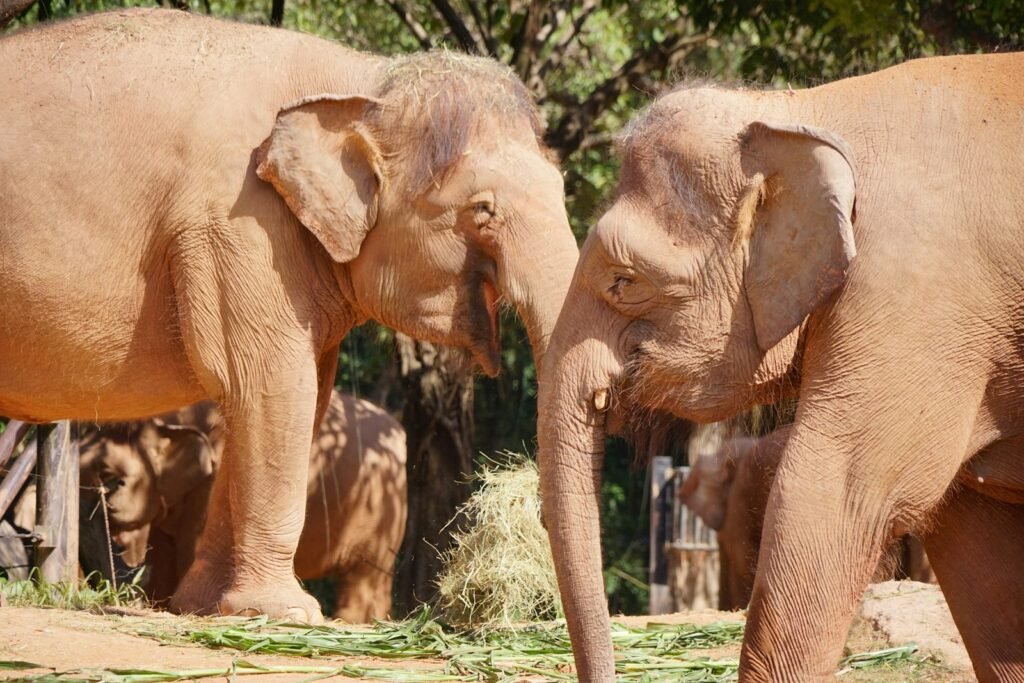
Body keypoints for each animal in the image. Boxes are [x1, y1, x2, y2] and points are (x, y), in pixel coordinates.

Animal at [78, 391, 406, 622]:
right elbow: (164, 551)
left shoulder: (214, 471)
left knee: (363, 576)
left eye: (113, 480)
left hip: (381, 512)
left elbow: (191, 547)